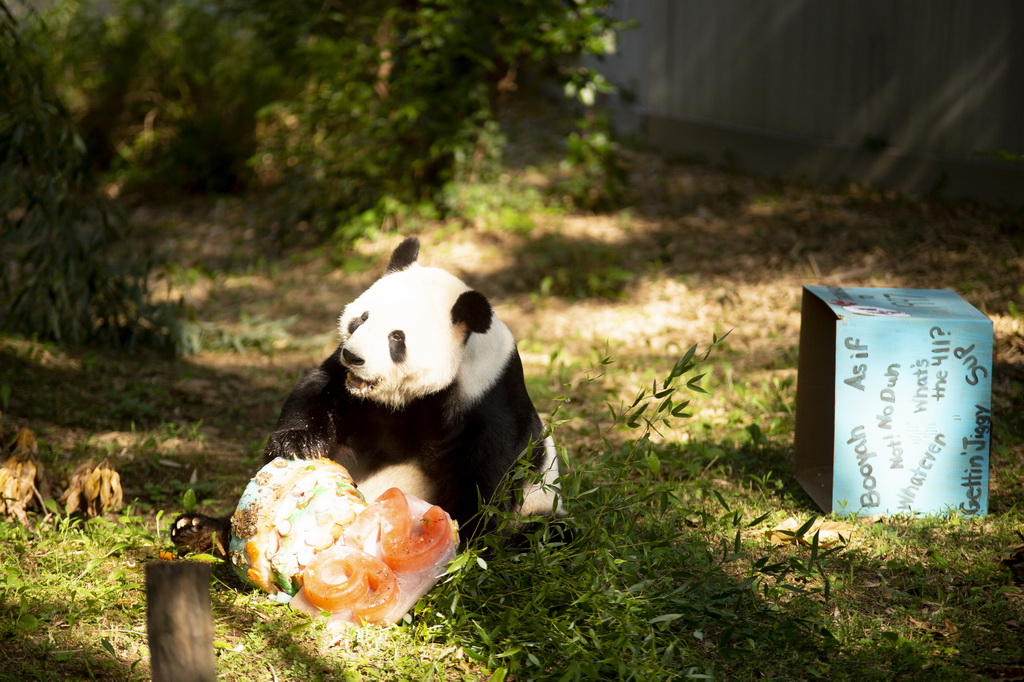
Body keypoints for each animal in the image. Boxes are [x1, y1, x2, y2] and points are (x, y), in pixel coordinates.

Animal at [171, 235, 565, 552]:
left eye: (397, 337)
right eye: (361, 318)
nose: (354, 356)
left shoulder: (490, 399)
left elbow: (486, 483)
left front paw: (459, 543)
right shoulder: (349, 388)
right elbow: (316, 391)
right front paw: (298, 444)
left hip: (544, 506)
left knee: (549, 533)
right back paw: (200, 530)